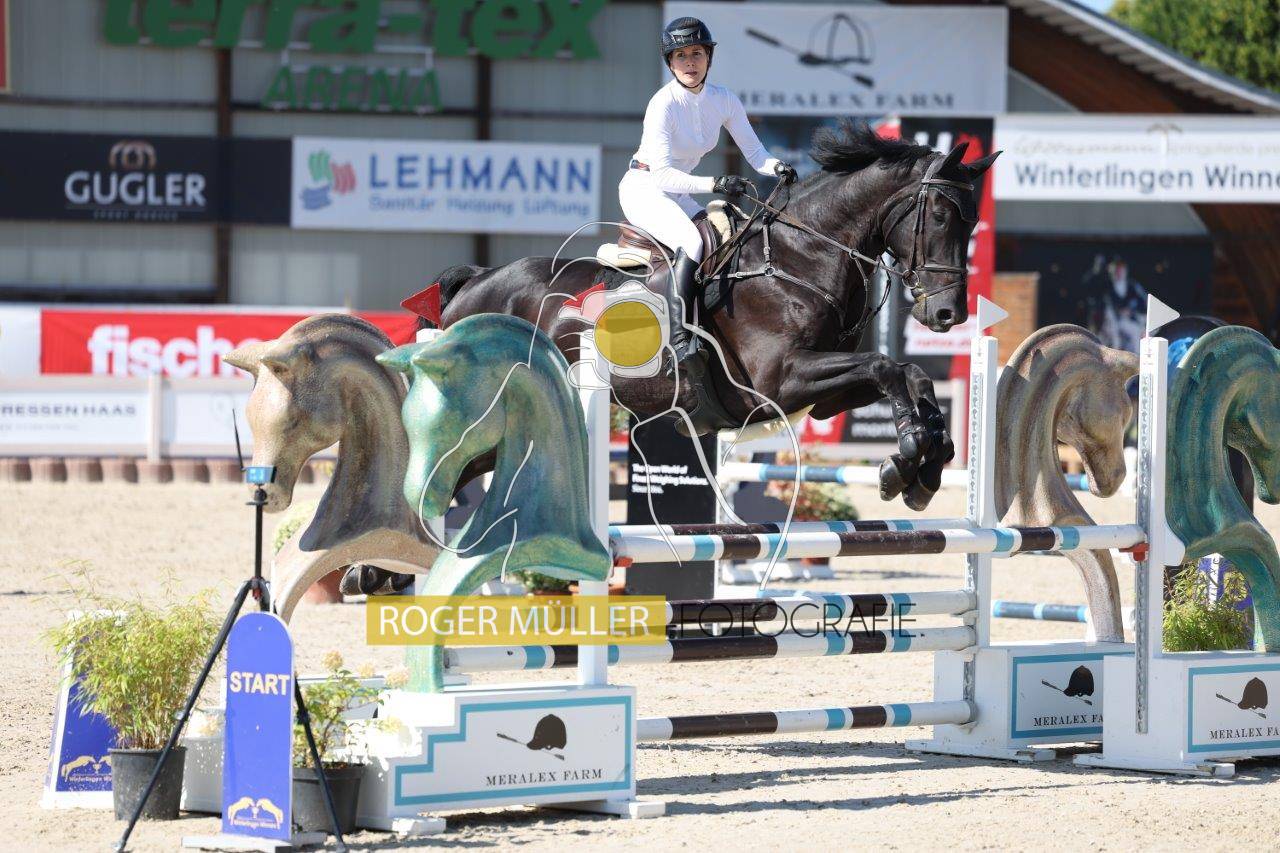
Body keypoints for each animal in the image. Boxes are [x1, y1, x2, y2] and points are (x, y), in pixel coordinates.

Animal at [406, 122, 998, 511]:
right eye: (939, 215)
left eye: (972, 222)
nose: (947, 313)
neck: (800, 258)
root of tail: (475, 283)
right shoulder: (780, 381)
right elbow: (886, 367)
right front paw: (907, 456)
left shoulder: (823, 394)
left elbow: (910, 374)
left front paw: (929, 459)